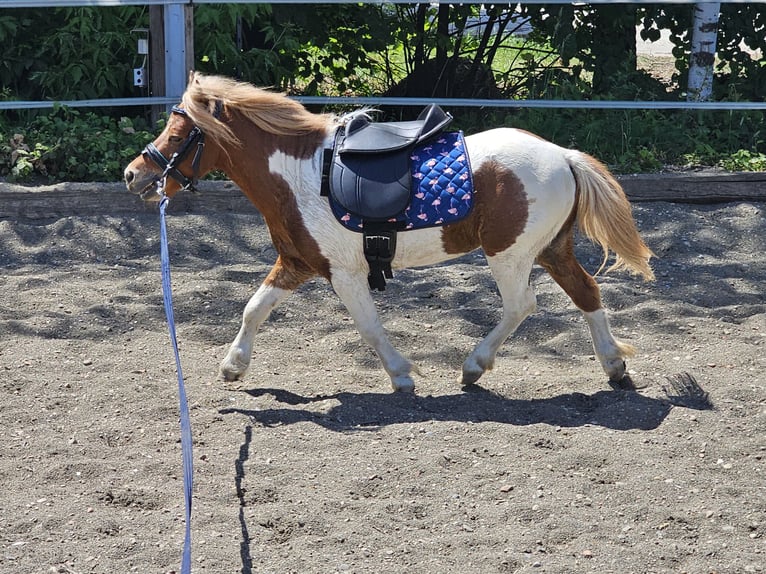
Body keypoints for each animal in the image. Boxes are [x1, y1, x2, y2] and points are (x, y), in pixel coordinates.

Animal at [126, 72, 656, 394]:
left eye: (178, 134)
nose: (134, 174)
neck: (297, 174)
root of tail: (563, 155)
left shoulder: (342, 273)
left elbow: (368, 326)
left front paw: (402, 376)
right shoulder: (297, 263)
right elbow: (254, 308)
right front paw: (233, 366)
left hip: (509, 254)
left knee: (522, 304)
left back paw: (473, 366)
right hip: (551, 249)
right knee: (586, 293)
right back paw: (614, 366)